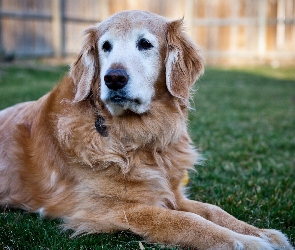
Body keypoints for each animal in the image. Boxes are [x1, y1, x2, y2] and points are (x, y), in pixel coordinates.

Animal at [0, 10, 294, 250]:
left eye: (145, 44)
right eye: (105, 46)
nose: (113, 78)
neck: (137, 138)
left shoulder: (171, 192)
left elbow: (214, 211)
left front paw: (262, 233)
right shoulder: (108, 210)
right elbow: (186, 221)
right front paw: (248, 242)